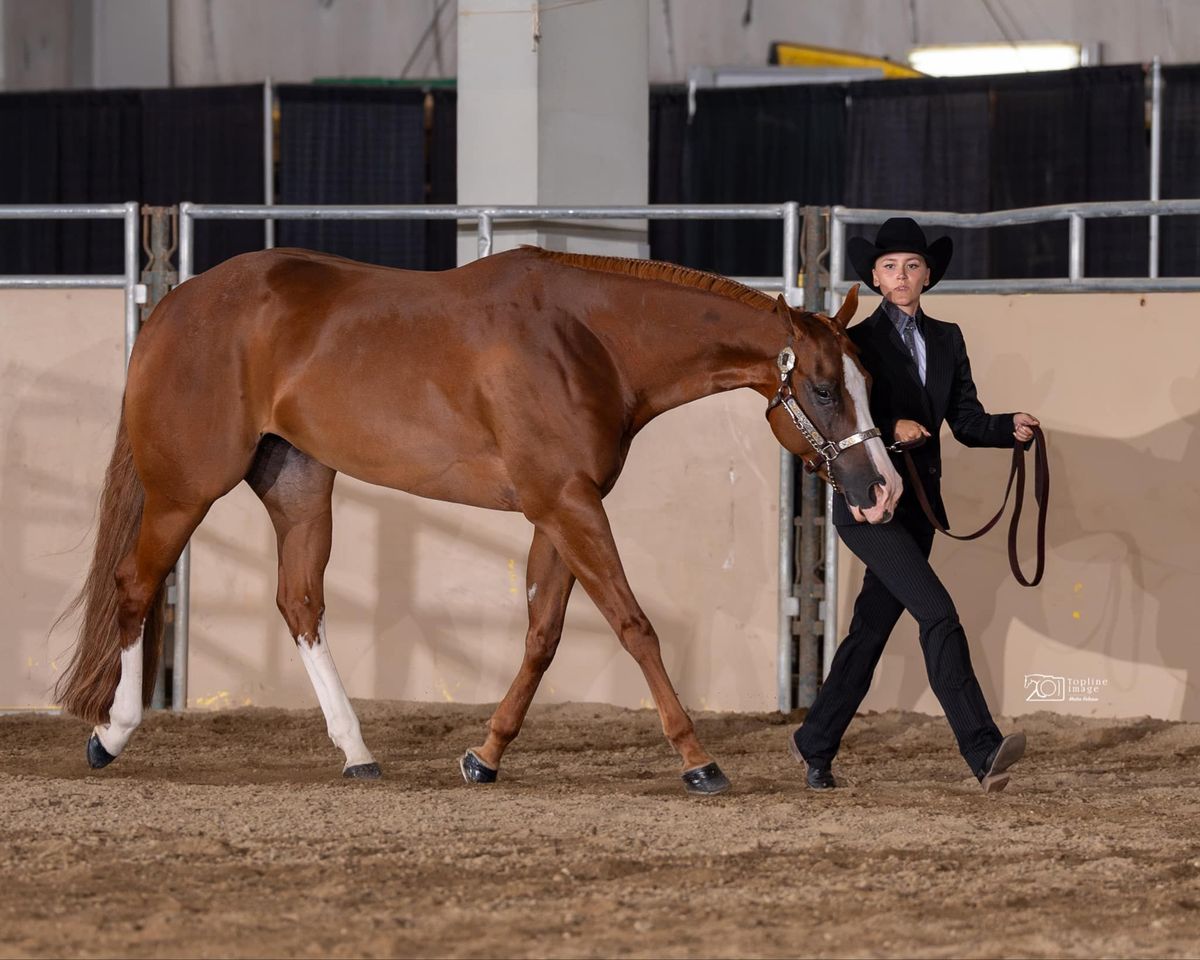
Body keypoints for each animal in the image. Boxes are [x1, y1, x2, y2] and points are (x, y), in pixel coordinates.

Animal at [56, 246, 902, 796]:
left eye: (867, 378)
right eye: (824, 389)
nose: (883, 488)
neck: (587, 341)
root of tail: (174, 305)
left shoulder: (560, 509)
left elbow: (542, 636)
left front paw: (485, 755)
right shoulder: (567, 503)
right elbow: (634, 626)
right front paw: (698, 758)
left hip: (297, 485)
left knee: (299, 605)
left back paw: (356, 751)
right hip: (185, 490)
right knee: (135, 587)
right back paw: (110, 735)